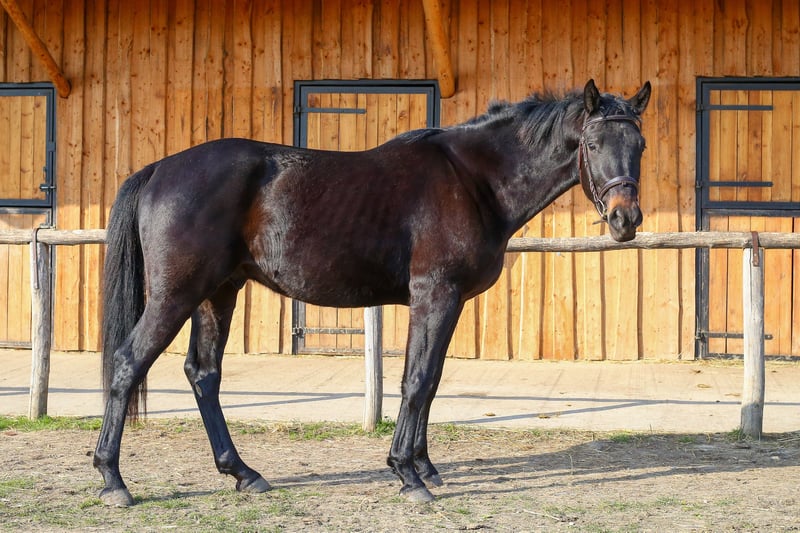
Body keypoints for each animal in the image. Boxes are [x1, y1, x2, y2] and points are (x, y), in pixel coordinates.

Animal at [94, 79, 651, 506]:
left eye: (640, 146)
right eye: (593, 145)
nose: (625, 220)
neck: (473, 179)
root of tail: (160, 169)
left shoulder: (447, 303)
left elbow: (431, 380)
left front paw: (425, 467)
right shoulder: (435, 295)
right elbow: (417, 381)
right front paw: (406, 474)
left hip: (218, 293)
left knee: (204, 374)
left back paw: (243, 474)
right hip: (177, 295)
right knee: (127, 363)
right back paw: (113, 480)